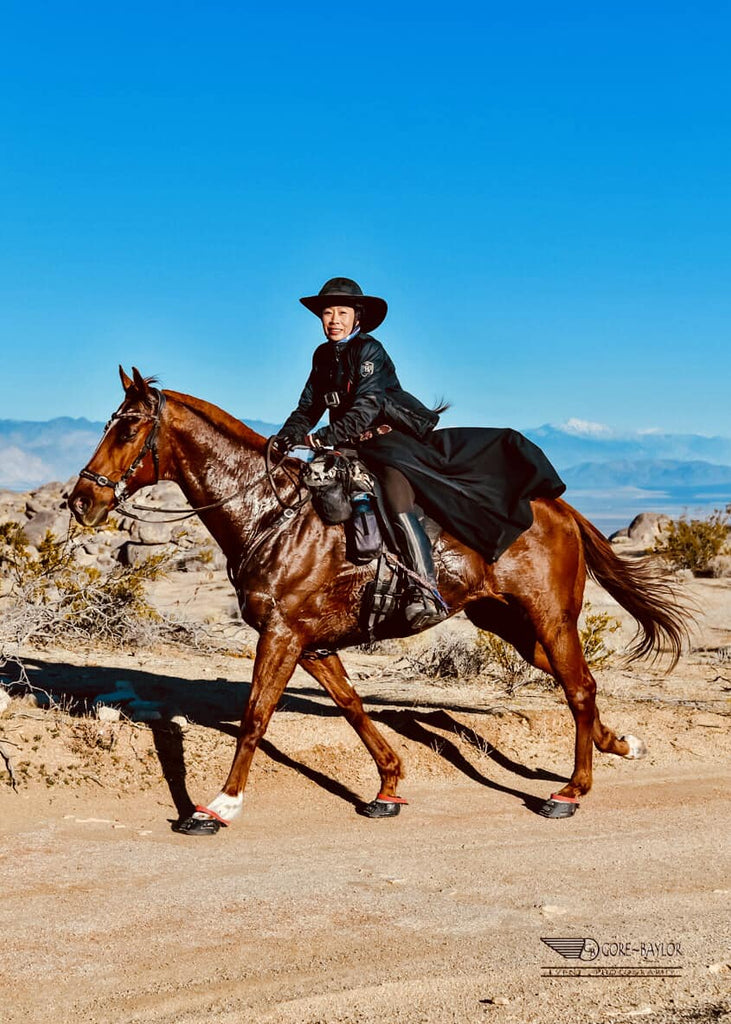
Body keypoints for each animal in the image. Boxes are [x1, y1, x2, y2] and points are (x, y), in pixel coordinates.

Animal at [67, 368, 683, 831]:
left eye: (128, 430)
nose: (80, 500)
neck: (271, 515)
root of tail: (559, 508)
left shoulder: (282, 635)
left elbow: (255, 718)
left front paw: (218, 806)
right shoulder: (312, 644)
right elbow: (353, 708)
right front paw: (388, 785)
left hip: (550, 616)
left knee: (578, 688)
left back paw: (571, 791)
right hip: (509, 622)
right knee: (579, 682)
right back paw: (620, 744)